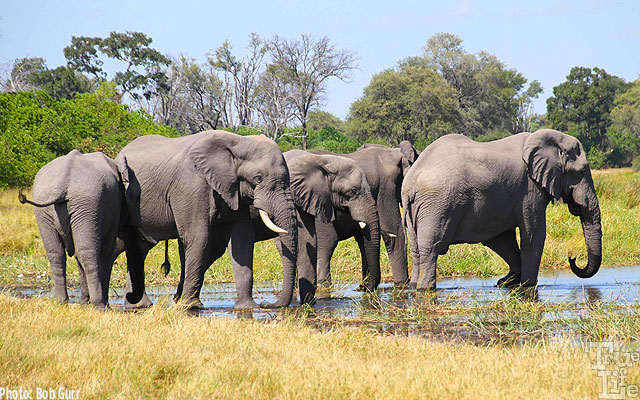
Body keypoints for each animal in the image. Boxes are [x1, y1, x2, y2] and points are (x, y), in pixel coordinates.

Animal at [18, 150, 143, 310]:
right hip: (87, 202)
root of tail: (63, 182)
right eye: (138, 197)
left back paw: (61, 301)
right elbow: (107, 251)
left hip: (48, 207)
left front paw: (84, 303)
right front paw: (102, 305)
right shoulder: (113, 206)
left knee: (56, 254)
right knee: (89, 254)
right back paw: (99, 306)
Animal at [116, 131, 298, 310]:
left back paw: (138, 305)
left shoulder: (233, 191)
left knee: (141, 247)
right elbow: (198, 237)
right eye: (258, 178)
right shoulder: (190, 187)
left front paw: (248, 307)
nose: (266, 304)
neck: (238, 141)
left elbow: (242, 239)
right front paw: (189, 306)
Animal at [310, 141, 420, 288]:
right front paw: (401, 285)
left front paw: (364, 287)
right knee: (327, 241)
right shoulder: (386, 188)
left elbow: (364, 240)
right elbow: (394, 230)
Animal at [402, 130, 604, 290]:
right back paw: (426, 288)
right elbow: (534, 234)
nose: (572, 258)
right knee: (431, 248)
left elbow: (500, 239)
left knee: (417, 250)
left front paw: (506, 282)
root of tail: (410, 184)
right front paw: (528, 285)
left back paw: (414, 286)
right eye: (581, 172)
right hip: (437, 205)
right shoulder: (529, 188)